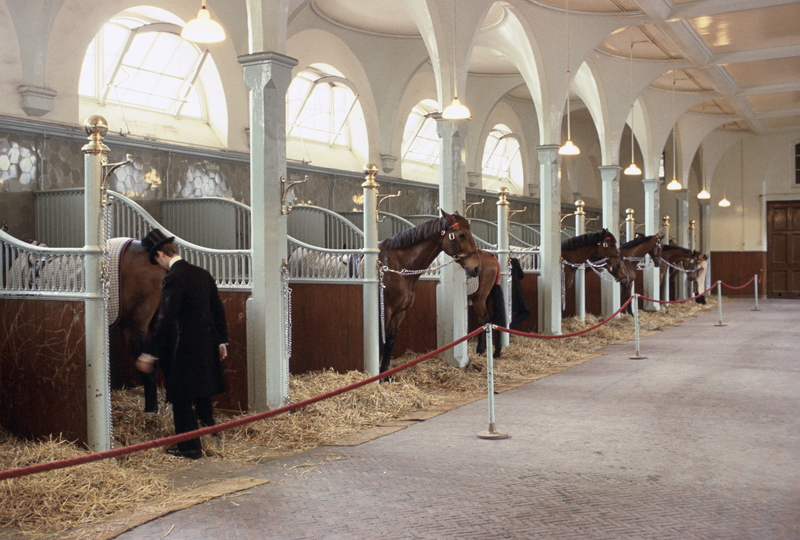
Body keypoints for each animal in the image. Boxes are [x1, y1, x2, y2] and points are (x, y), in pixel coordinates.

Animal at [380, 209, 484, 374]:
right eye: (462, 235)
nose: (476, 268)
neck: (395, 267)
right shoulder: (385, 310)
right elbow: (381, 343)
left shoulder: (399, 312)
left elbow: (389, 342)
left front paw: (385, 374)